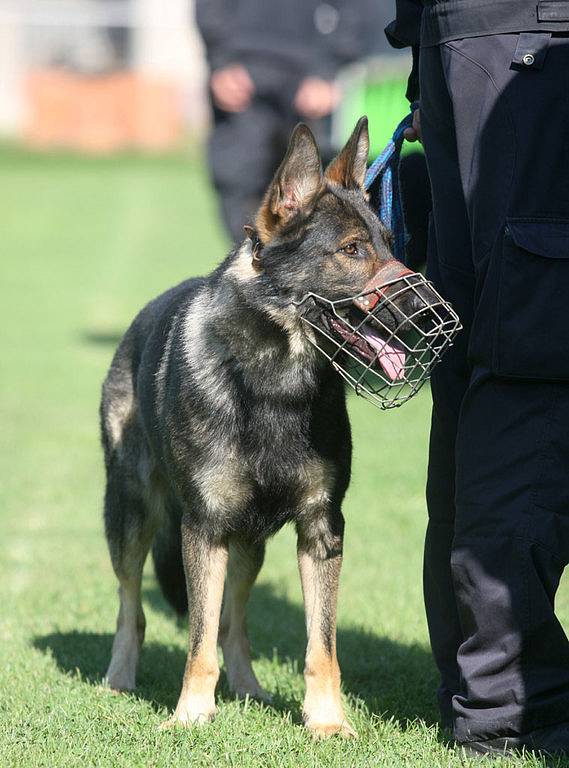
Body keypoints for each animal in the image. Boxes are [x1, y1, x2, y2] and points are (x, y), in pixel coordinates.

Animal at [100, 117, 432, 736]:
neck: (276, 383)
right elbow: (197, 641)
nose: (425, 310)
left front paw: (327, 722)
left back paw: (249, 689)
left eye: (389, 244)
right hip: (132, 517)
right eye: (352, 251)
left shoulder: (321, 530)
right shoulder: (204, 529)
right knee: (133, 606)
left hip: (249, 545)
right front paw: (190, 716)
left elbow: (320, 647)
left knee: (235, 622)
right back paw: (119, 678)